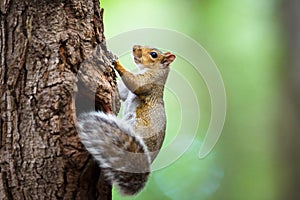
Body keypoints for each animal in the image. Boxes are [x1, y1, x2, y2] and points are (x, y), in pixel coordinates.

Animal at [77, 45, 176, 195]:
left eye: (154, 54)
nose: (135, 47)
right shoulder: (126, 92)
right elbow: (122, 93)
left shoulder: (149, 82)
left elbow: (136, 83)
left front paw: (116, 62)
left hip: (136, 125)